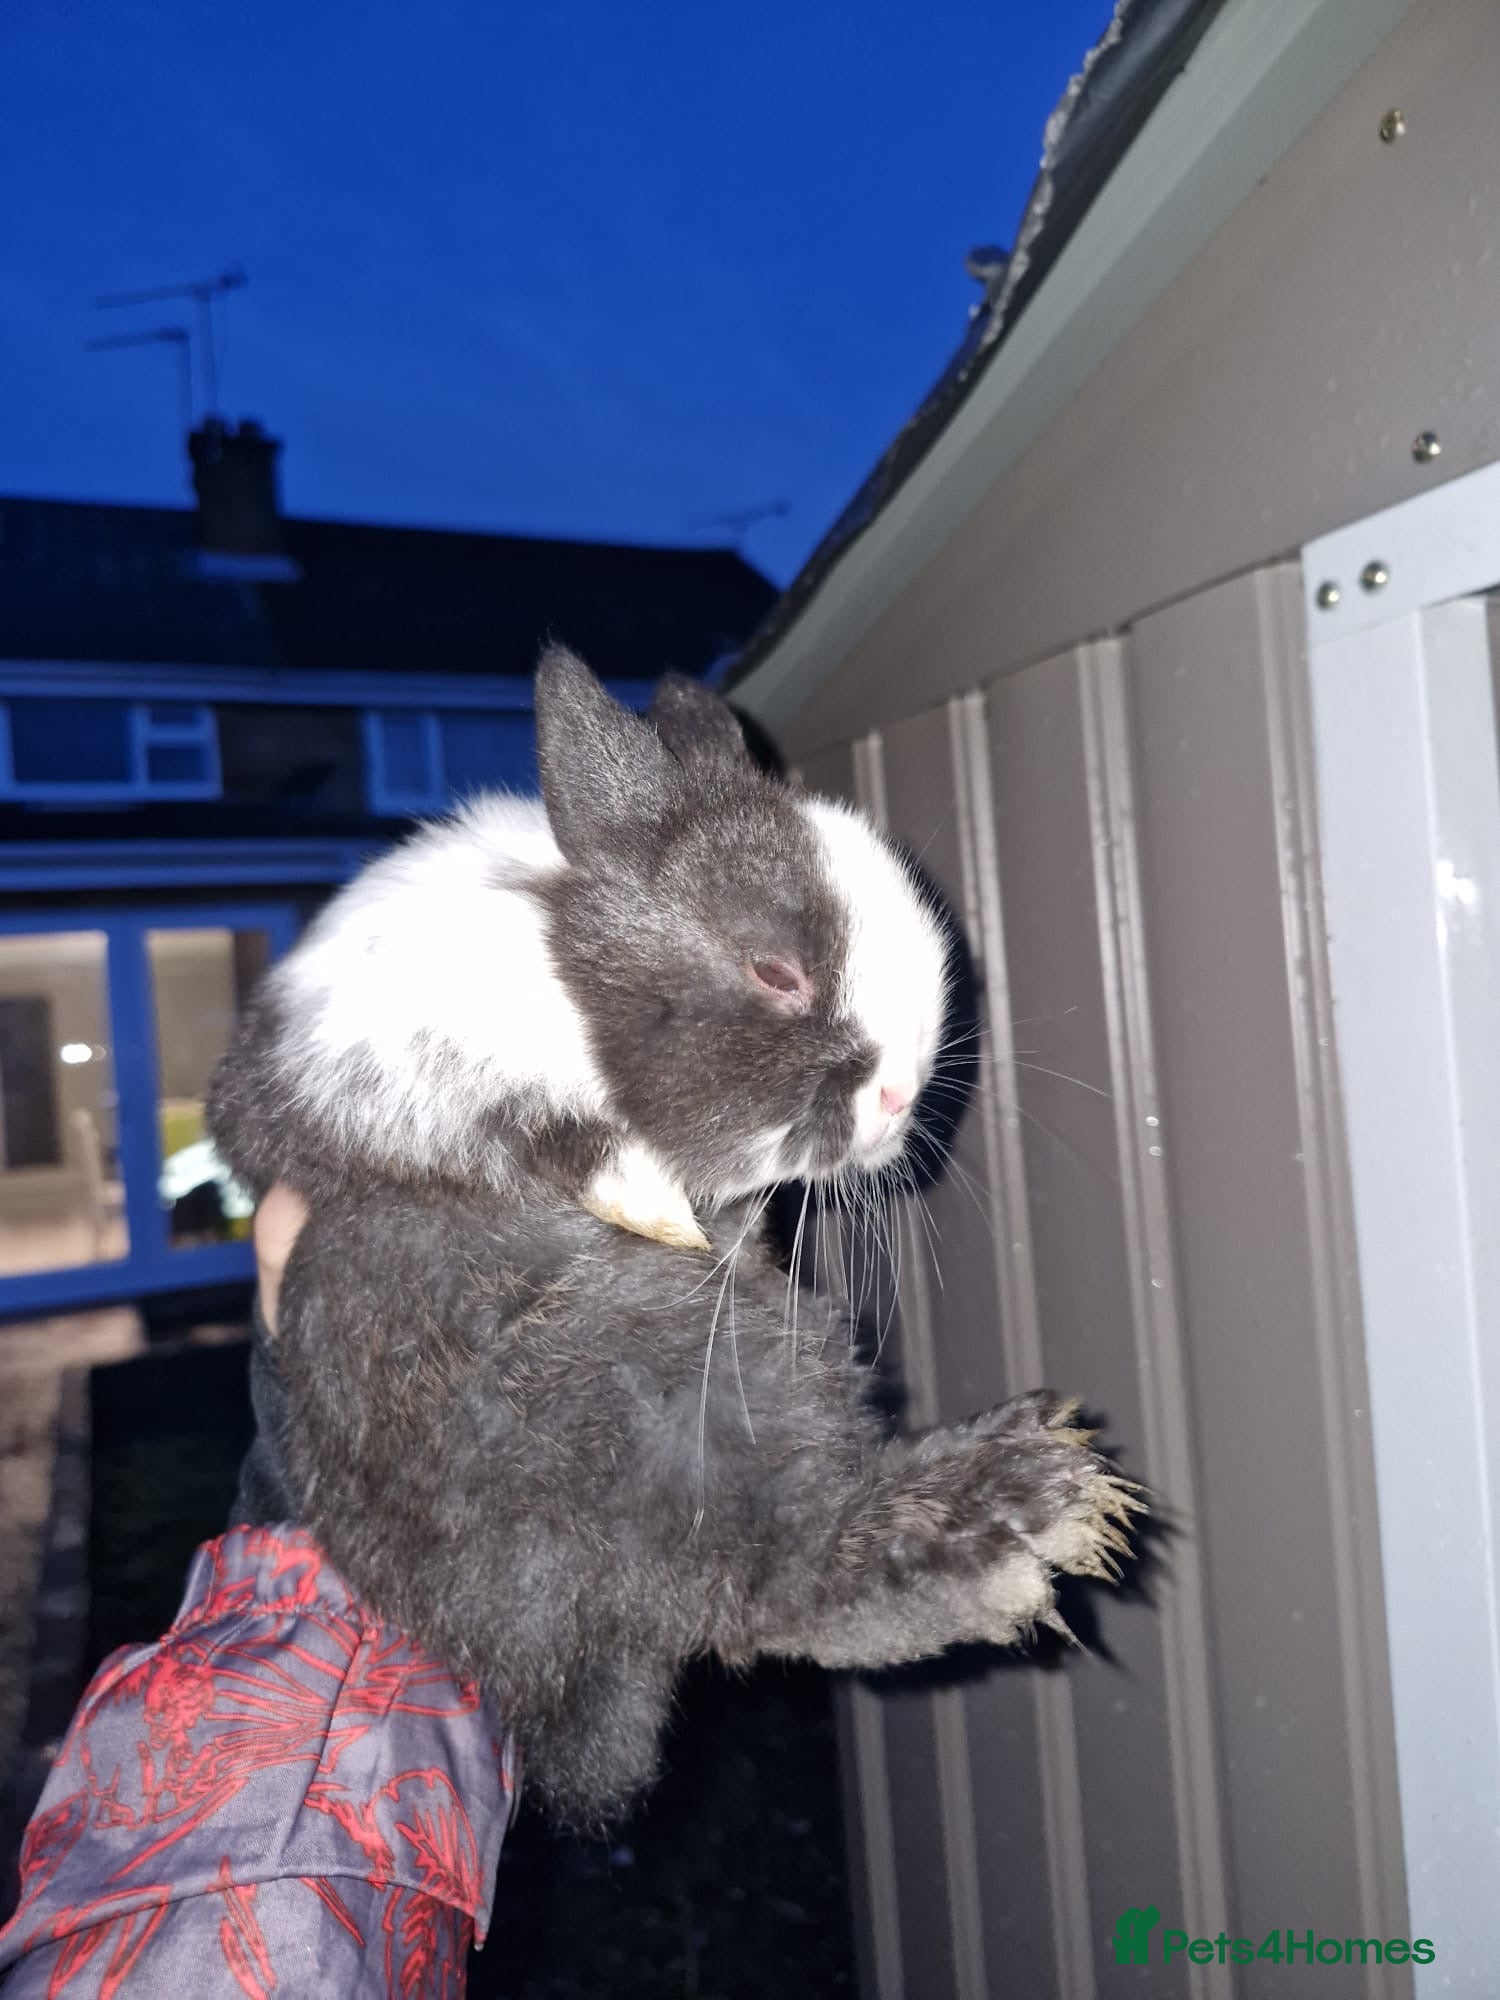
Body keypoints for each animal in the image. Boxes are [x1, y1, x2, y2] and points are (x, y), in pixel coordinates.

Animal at [207, 647, 1141, 1825]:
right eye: (775, 970)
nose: (897, 1097)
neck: (560, 980)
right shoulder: (338, 1089)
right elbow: (540, 1138)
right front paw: (657, 1204)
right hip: (670, 1385)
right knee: (778, 1578)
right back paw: (1014, 1501)